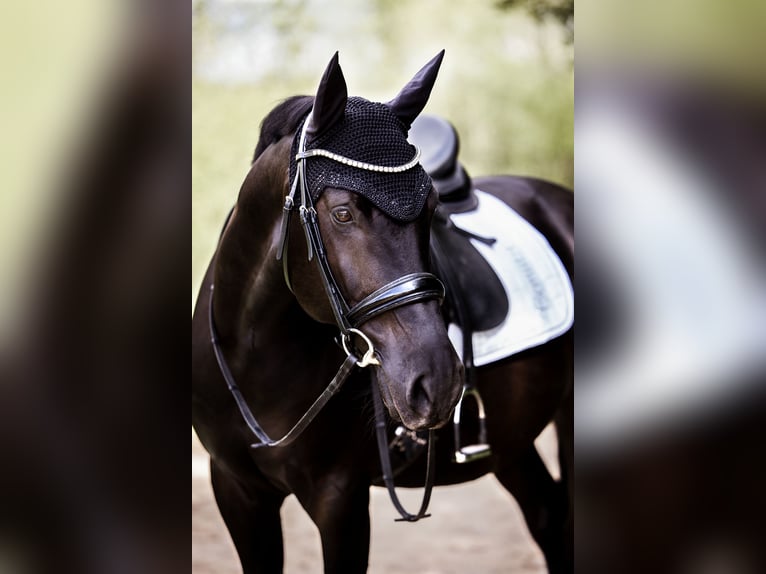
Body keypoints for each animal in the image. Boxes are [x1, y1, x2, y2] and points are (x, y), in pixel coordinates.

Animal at [192, 51, 573, 573]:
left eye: (432, 208)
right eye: (343, 213)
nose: (438, 381)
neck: (255, 357)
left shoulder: (341, 501)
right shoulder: (236, 490)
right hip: (511, 442)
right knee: (548, 516)